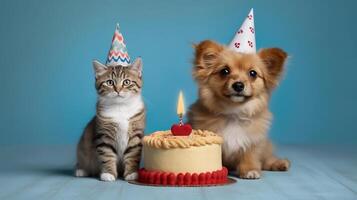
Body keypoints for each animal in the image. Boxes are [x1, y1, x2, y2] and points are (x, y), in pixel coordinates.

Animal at [186, 39, 290, 179]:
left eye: (253, 73)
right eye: (225, 71)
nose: (238, 85)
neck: (233, 113)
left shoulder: (253, 141)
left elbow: (250, 156)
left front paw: (250, 170)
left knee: (267, 159)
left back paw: (279, 163)